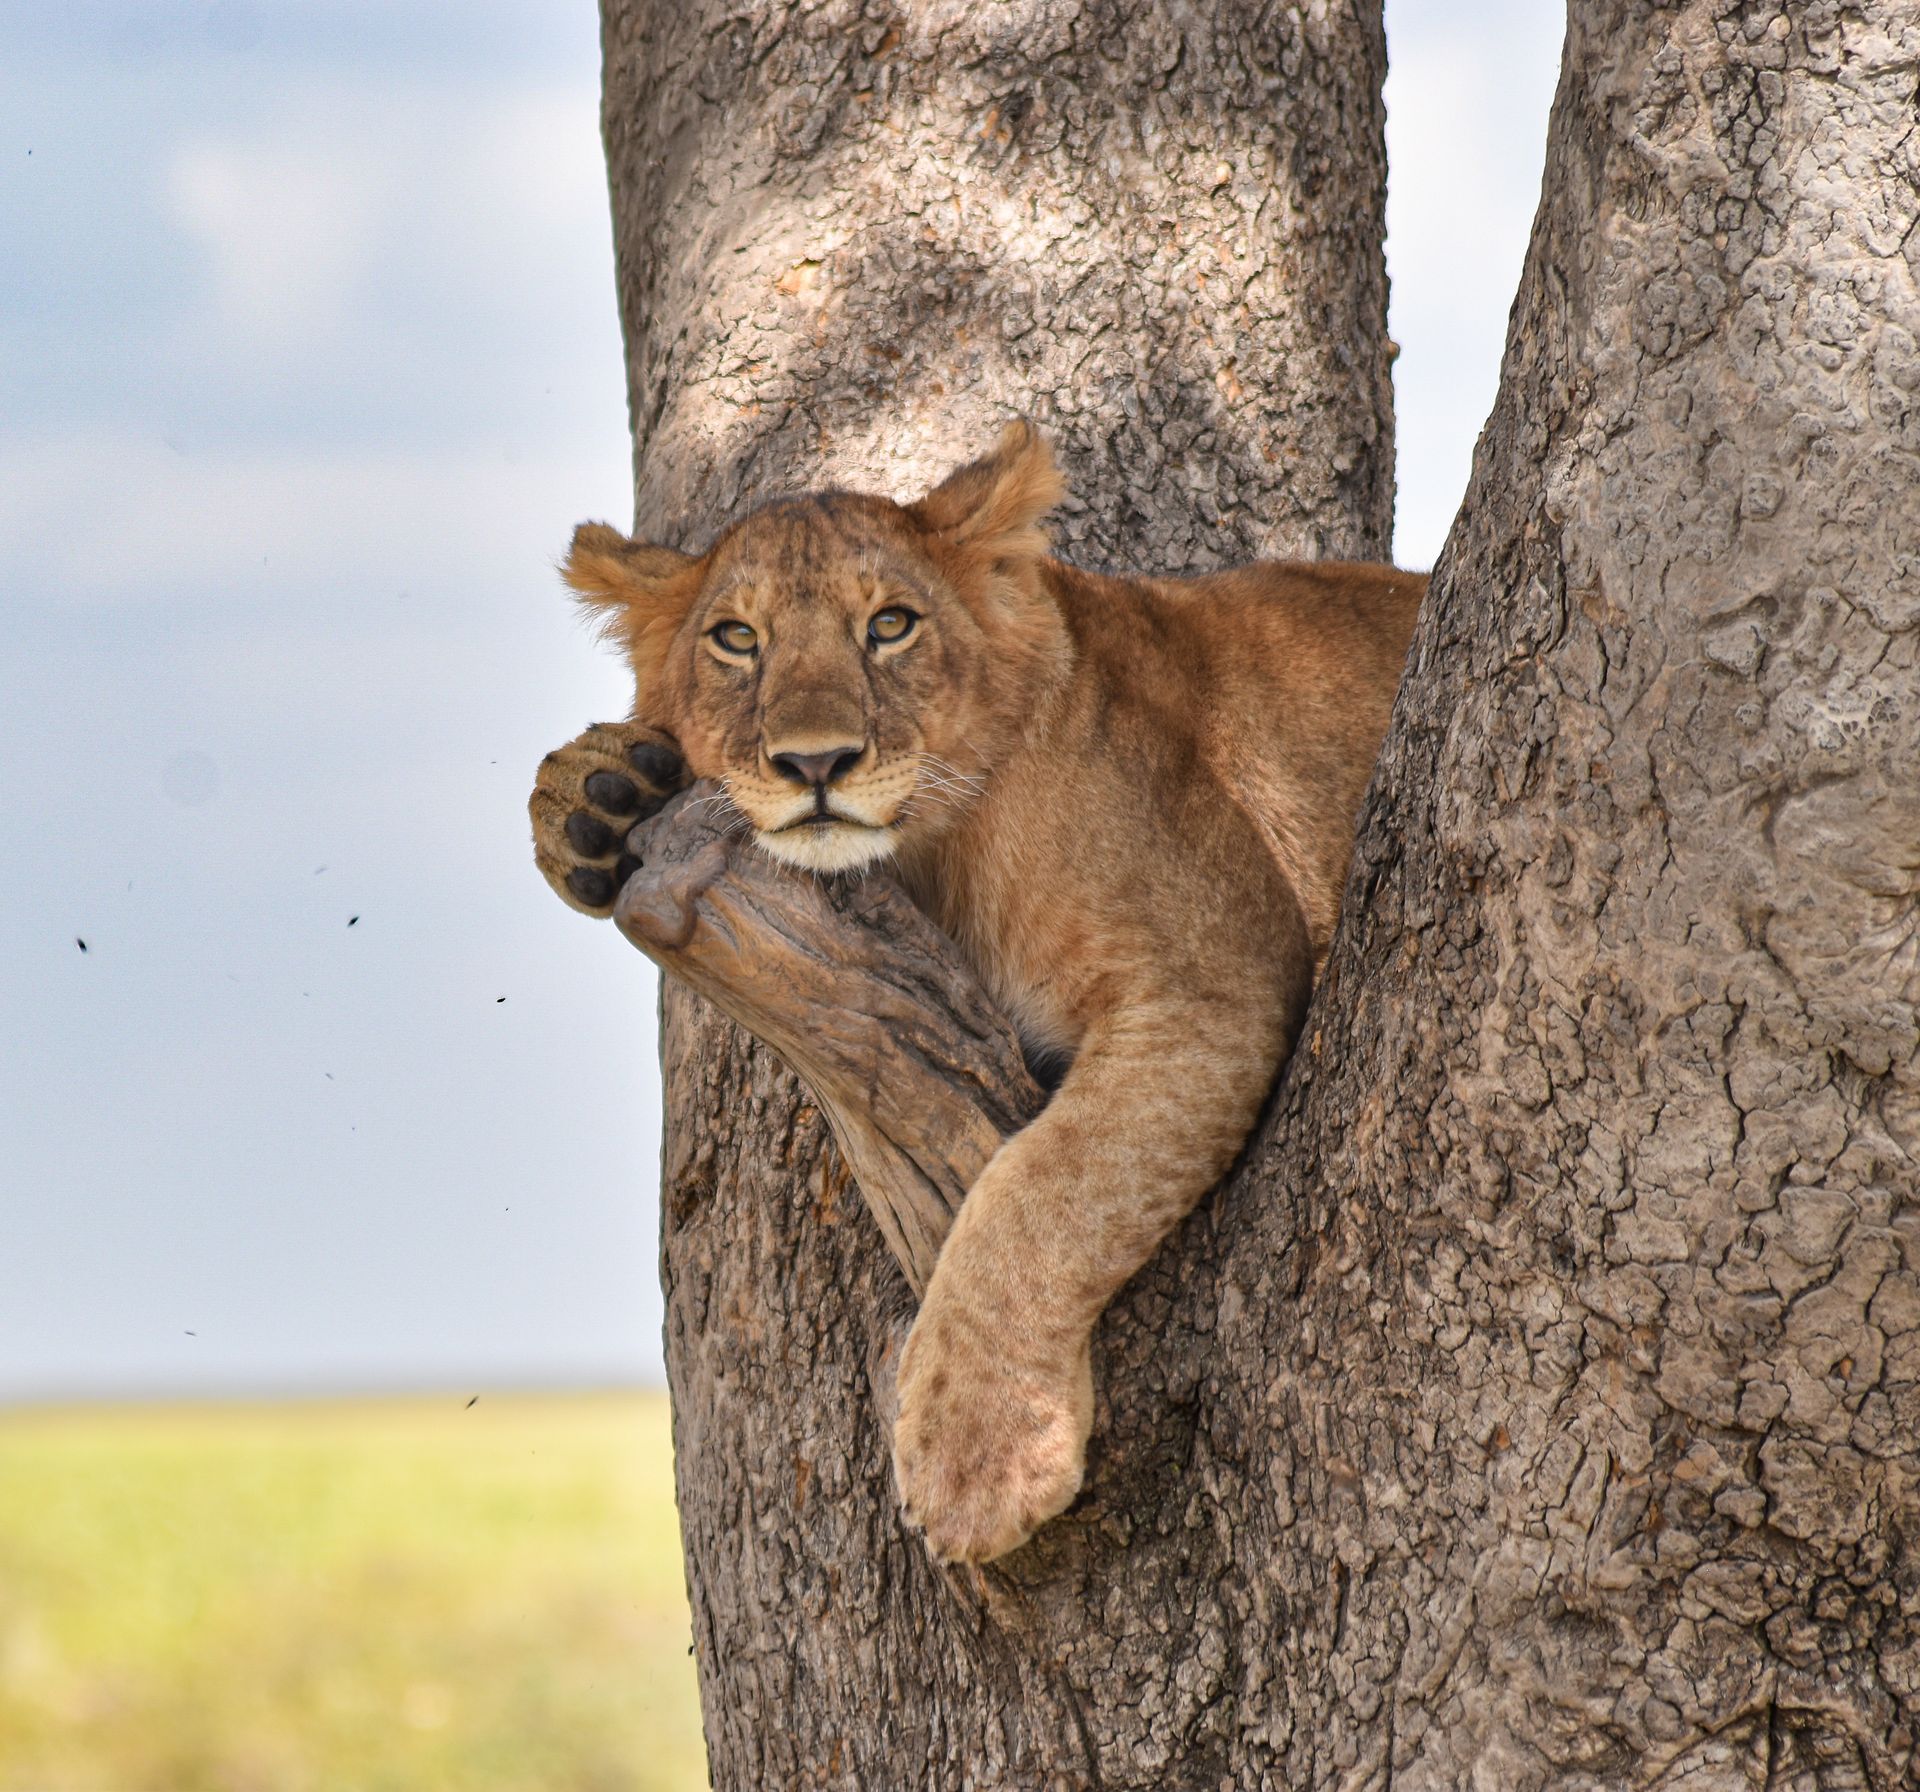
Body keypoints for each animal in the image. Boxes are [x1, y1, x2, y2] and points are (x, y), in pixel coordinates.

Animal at [530, 422, 1423, 1563]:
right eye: (736, 639)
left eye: (890, 626)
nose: (815, 763)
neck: (933, 856)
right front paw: (590, 795)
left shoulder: (1218, 974)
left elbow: (1041, 1195)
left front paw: (977, 1459)